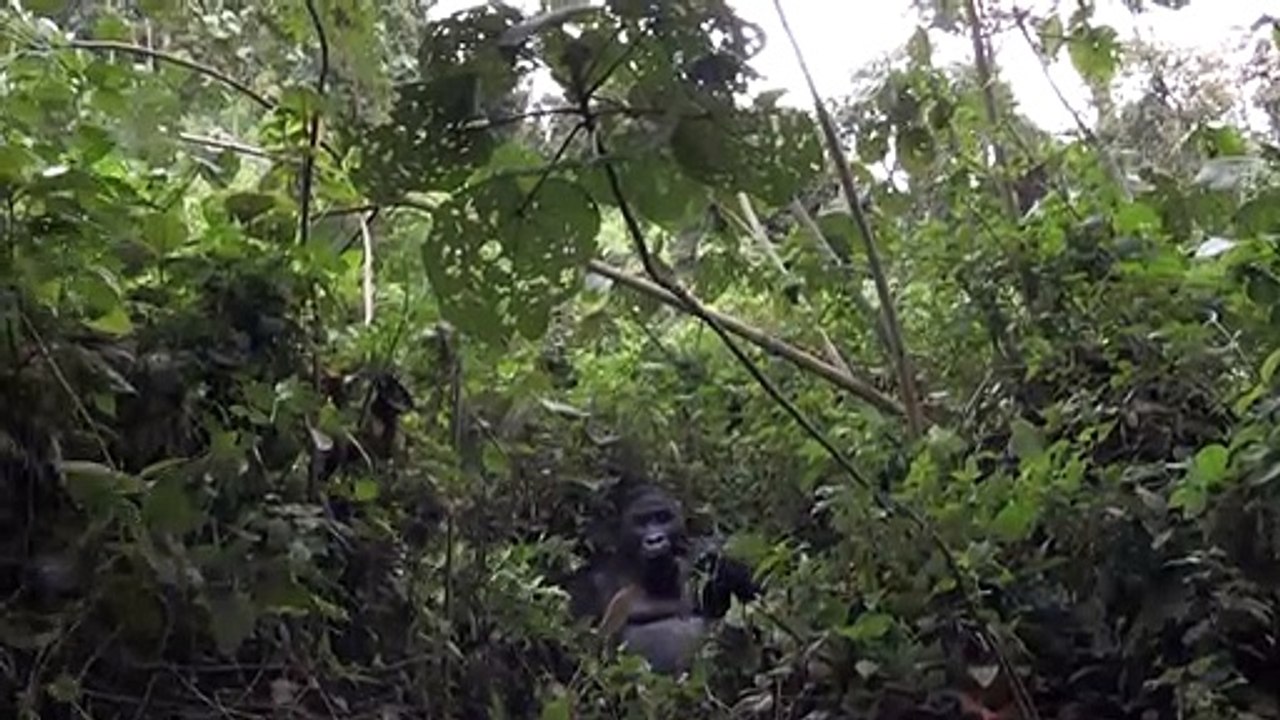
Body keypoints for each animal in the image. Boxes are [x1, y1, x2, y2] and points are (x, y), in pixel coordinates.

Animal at [568, 481, 757, 671]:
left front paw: (717, 565)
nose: (655, 539)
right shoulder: (590, 582)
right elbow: (575, 654)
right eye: (641, 521)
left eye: (662, 517)